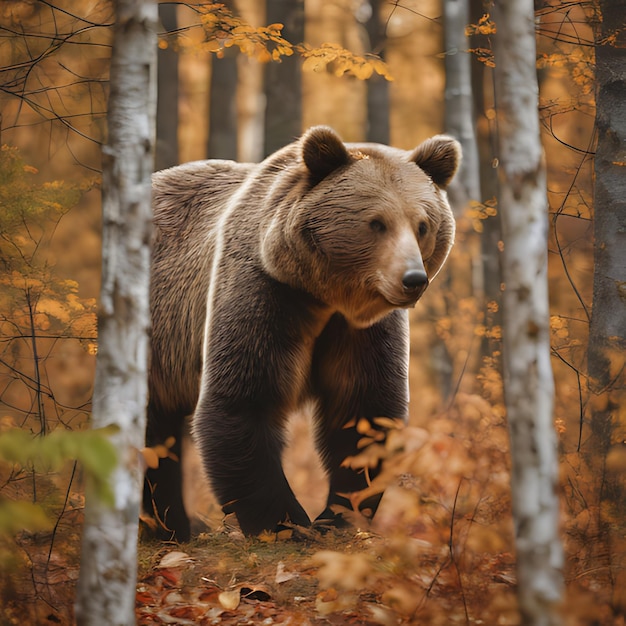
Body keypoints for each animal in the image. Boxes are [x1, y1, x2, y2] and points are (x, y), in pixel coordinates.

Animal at [144, 124, 460, 540]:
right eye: (377, 223)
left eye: (422, 224)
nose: (413, 280)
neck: (325, 297)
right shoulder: (265, 291)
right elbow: (243, 400)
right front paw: (287, 523)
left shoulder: (360, 329)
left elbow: (362, 409)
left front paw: (338, 515)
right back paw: (167, 527)